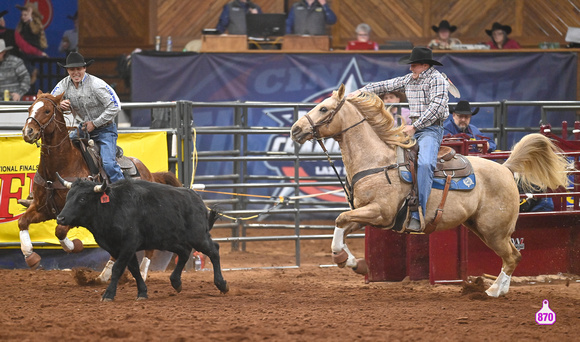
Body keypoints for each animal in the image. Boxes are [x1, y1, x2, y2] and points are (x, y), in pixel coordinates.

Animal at [19, 91, 181, 280]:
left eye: (46, 111)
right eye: (30, 108)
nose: (28, 131)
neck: (60, 166)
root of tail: (149, 173)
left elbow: (60, 231)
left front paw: (76, 245)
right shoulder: (42, 208)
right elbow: (23, 222)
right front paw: (31, 256)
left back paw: (141, 272)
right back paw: (104, 275)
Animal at [290, 85, 572, 296]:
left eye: (323, 108)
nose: (295, 129)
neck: (377, 161)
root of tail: (505, 168)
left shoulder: (380, 212)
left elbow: (339, 220)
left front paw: (346, 260)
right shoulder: (368, 214)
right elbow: (342, 228)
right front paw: (351, 262)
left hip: (495, 230)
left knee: (513, 256)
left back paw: (494, 291)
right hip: (481, 228)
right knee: (512, 256)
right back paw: (497, 289)